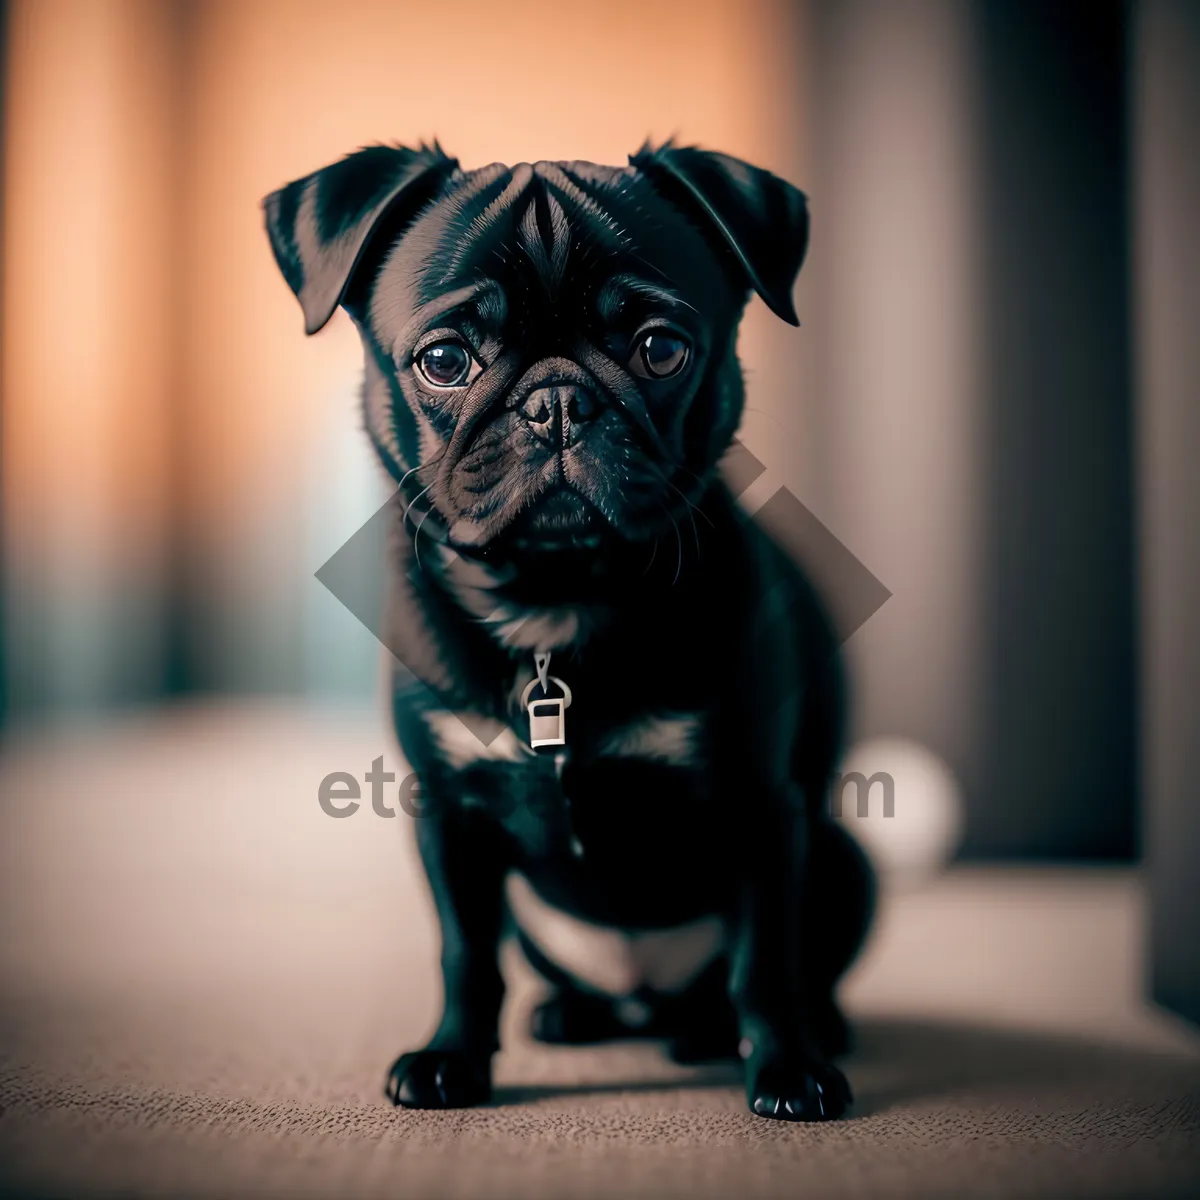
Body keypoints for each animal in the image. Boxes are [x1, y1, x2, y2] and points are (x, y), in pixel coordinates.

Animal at [262, 145, 873, 1118]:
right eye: (444, 360)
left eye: (661, 349)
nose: (555, 402)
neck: (558, 602)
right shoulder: (450, 818)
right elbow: (465, 955)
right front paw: (450, 1058)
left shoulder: (762, 810)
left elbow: (766, 959)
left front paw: (789, 1070)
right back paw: (575, 1015)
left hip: (842, 858)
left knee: (762, 976)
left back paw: (745, 1030)